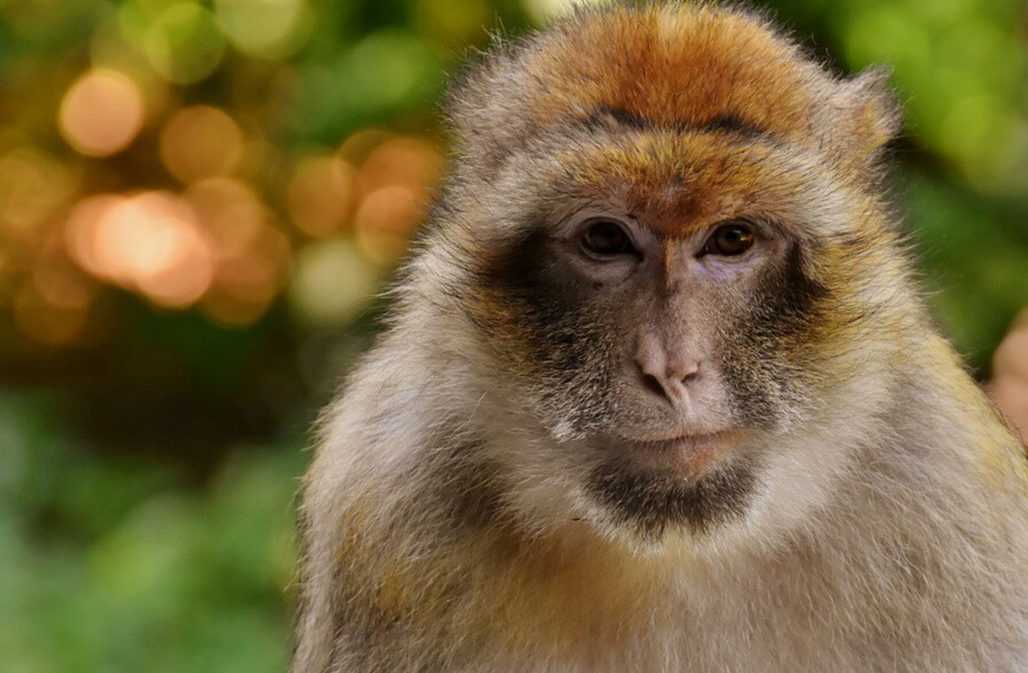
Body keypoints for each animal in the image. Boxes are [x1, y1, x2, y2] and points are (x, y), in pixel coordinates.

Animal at [291, 2, 1028, 669]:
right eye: (605, 239)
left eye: (733, 238)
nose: (671, 369)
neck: (678, 549)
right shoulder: (384, 495)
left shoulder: (954, 495)